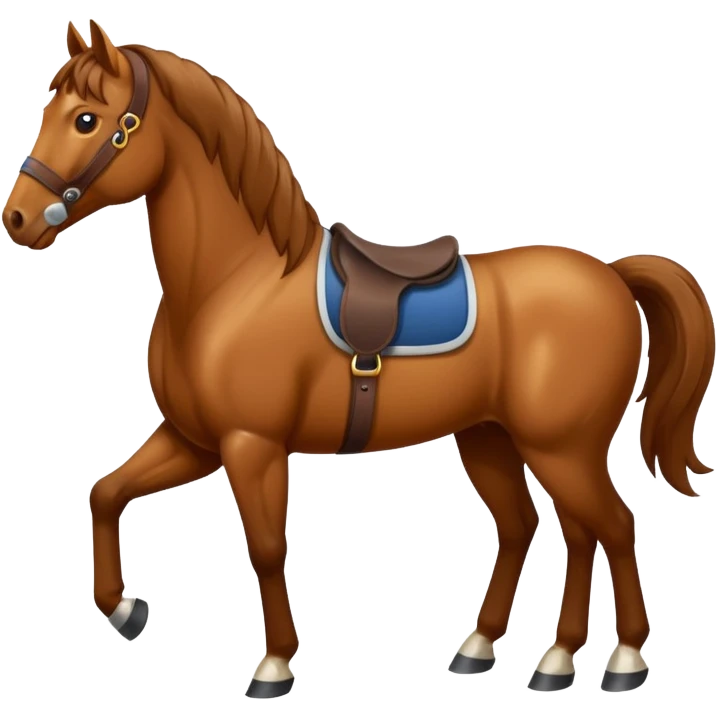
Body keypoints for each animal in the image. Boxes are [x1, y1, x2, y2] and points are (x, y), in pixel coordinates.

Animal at [3, 19, 714, 699]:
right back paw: (522, 656)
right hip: (493, 439)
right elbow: (106, 493)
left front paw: (274, 666)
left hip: (563, 447)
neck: (236, 283)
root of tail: (612, 275)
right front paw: (125, 611)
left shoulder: (251, 445)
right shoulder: (193, 440)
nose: (17, 219)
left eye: (86, 118)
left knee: (612, 527)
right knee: (542, 528)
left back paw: (621, 661)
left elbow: (265, 548)